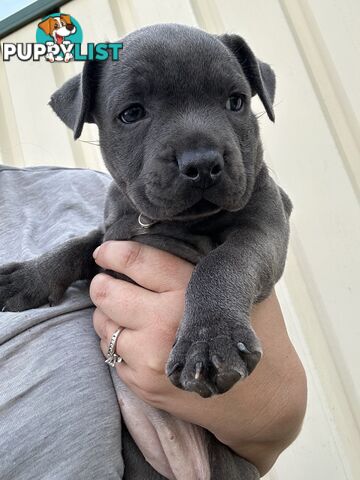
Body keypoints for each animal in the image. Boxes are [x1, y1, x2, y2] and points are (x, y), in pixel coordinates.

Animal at [0, 23, 292, 480]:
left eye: (236, 102)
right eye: (132, 114)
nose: (202, 162)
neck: (164, 222)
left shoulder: (266, 225)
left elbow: (223, 261)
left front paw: (210, 339)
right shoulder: (112, 235)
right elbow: (78, 245)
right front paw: (27, 277)